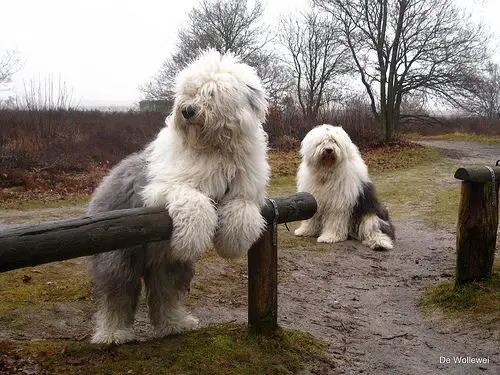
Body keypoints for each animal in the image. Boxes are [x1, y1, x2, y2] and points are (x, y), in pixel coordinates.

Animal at [88, 50, 272, 346]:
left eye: (211, 93)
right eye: (189, 91)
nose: (187, 111)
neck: (215, 150)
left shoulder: (244, 188)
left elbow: (242, 208)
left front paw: (233, 242)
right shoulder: (160, 189)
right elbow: (194, 199)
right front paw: (197, 233)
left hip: (167, 262)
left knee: (165, 293)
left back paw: (175, 324)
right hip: (118, 257)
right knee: (118, 296)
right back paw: (113, 333)